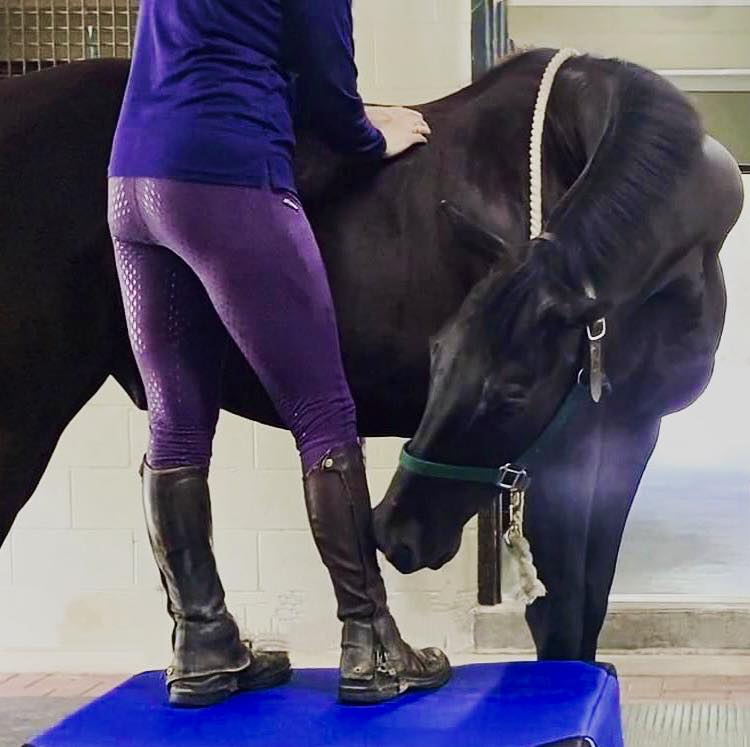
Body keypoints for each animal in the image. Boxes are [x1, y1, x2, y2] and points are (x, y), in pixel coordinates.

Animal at [0, 48, 743, 661]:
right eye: (437, 357)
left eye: (512, 390)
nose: (392, 532)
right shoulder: (560, 452)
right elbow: (559, 619)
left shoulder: (627, 432)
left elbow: (588, 605)